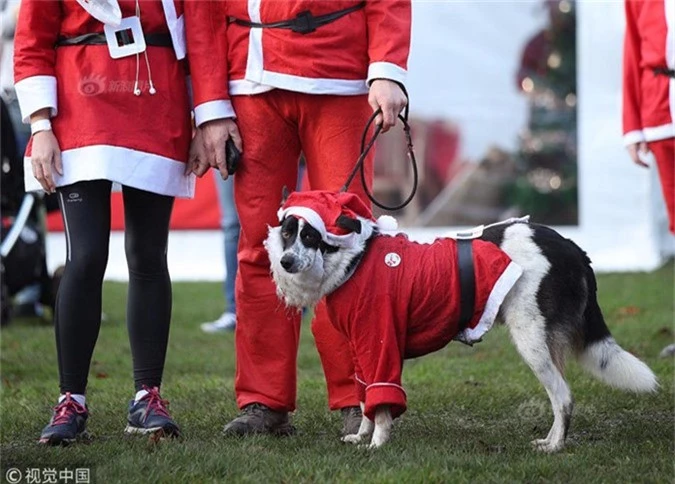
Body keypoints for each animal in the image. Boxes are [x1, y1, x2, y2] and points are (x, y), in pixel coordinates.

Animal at [266, 188, 660, 450]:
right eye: (287, 232)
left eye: (311, 235)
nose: (286, 261)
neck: (355, 260)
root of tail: (573, 247)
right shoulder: (363, 351)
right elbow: (366, 400)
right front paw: (361, 436)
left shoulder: (380, 346)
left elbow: (380, 405)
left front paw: (377, 444)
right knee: (559, 394)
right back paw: (548, 439)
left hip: (532, 339)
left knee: (562, 396)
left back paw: (555, 447)